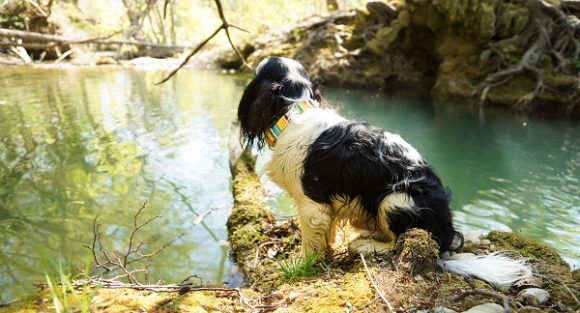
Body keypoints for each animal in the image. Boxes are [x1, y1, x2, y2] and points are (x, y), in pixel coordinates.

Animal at [236, 56, 532, 288]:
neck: (294, 110)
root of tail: (446, 237)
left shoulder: (312, 204)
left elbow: (310, 242)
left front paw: (301, 266)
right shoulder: (325, 207)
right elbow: (327, 234)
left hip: (396, 200)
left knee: (399, 242)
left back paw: (366, 245)